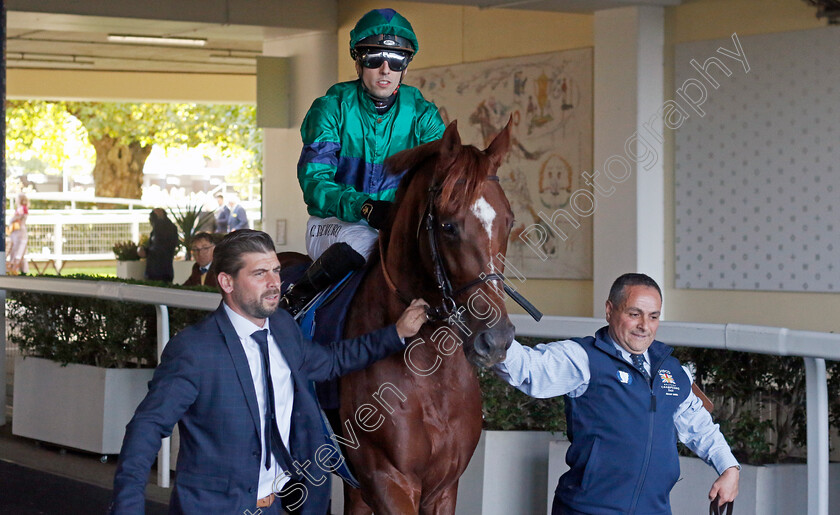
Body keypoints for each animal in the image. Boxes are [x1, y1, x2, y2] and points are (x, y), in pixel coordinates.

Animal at [338, 121, 516, 515]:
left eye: (509, 222)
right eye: (448, 226)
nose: (496, 339)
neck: (430, 371)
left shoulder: (444, 487)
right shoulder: (388, 480)